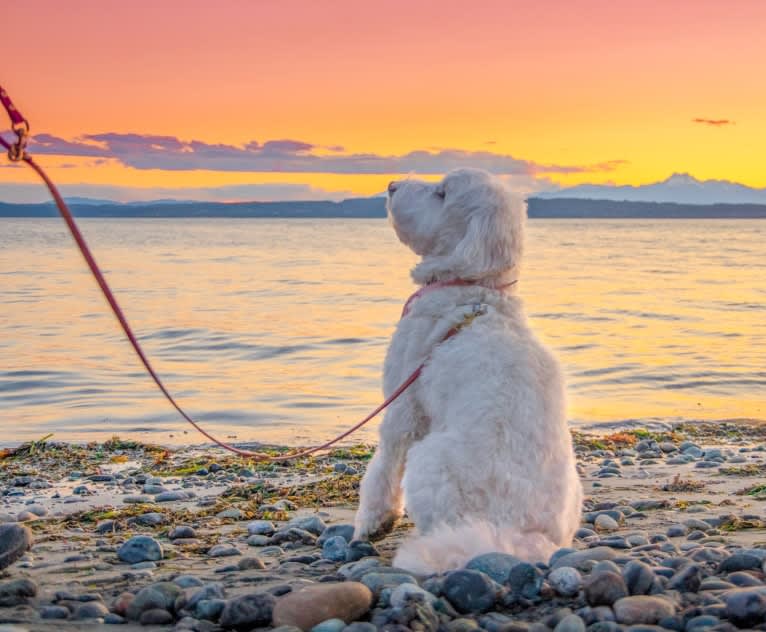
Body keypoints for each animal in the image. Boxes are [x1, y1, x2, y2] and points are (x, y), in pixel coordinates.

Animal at [356, 167, 584, 572]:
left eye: (442, 194)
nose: (392, 185)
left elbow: (384, 465)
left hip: (428, 460)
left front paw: (372, 521)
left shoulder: (403, 402)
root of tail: (521, 537)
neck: (476, 289)